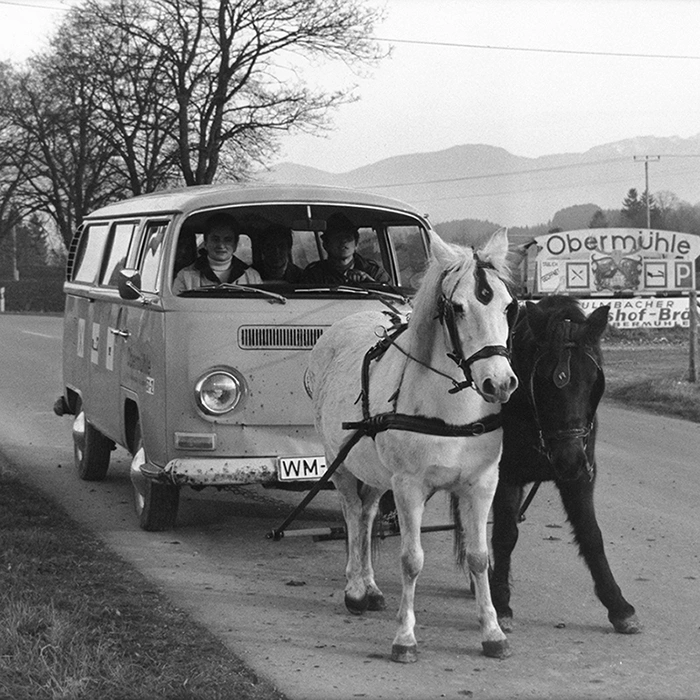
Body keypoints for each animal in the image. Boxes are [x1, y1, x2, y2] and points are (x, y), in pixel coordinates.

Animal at [308, 228, 520, 660]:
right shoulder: (408, 486)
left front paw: (492, 632)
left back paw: (370, 587)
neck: (452, 412)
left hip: (375, 472)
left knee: (368, 516)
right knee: (353, 516)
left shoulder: (481, 483)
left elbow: (478, 557)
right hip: (340, 462)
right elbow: (411, 560)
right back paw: (355, 589)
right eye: (457, 308)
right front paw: (404, 637)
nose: (500, 383)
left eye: (508, 307)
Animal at [492, 294, 640, 636]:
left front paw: (618, 605)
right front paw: (501, 603)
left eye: (592, 380)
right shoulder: (504, 475)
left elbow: (591, 534)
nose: (569, 460)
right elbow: (505, 533)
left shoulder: (581, 477)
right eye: (543, 380)